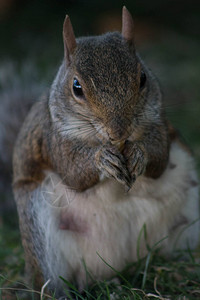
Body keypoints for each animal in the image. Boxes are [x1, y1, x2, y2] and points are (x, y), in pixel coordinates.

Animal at [11, 7, 200, 298]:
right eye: (76, 87)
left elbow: (159, 158)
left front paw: (139, 153)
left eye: (143, 78)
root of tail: (121, 265)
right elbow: (75, 173)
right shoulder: (53, 141)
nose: (119, 132)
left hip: (189, 214)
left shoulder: (160, 126)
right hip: (39, 226)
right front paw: (103, 159)